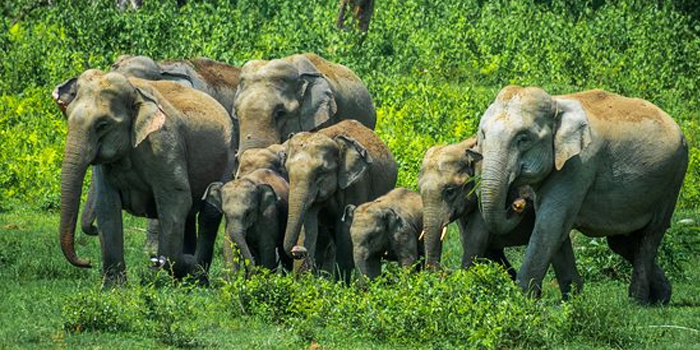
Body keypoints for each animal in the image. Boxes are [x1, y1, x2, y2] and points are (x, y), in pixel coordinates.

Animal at [54, 69, 235, 288]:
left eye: (103, 125)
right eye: (68, 117)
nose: (87, 262)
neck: (135, 92)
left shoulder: (163, 144)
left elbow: (176, 199)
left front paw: (178, 264)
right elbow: (107, 205)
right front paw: (114, 288)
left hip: (227, 158)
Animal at [282, 119, 396, 278]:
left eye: (321, 171)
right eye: (287, 170)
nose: (298, 250)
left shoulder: (357, 184)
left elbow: (344, 229)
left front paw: (341, 281)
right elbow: (309, 226)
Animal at [418, 137, 584, 298]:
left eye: (450, 191)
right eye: (419, 190)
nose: (520, 202)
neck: (464, 145)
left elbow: (474, 244)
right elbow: (486, 250)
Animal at [478, 85, 688, 304]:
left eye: (523, 139)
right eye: (483, 135)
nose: (518, 203)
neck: (557, 103)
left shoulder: (578, 164)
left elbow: (550, 224)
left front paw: (520, 300)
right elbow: (555, 229)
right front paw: (572, 299)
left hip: (674, 177)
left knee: (651, 234)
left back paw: (638, 301)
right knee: (621, 243)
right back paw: (661, 298)